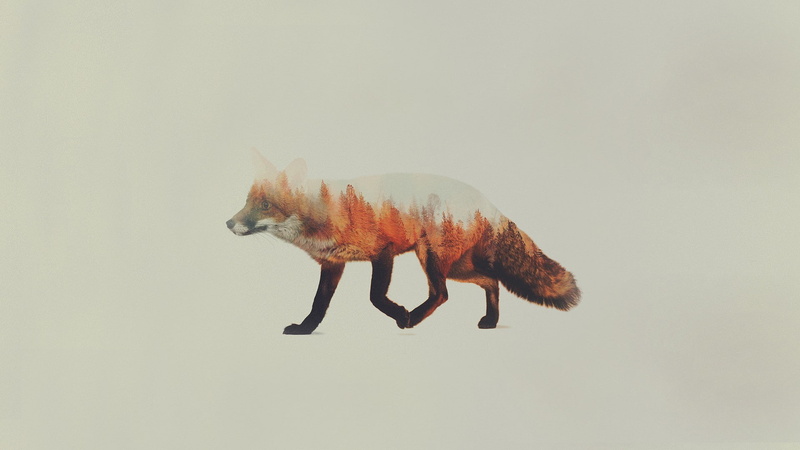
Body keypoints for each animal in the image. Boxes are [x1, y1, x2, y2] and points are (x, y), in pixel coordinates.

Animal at [227, 151, 580, 334]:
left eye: (265, 205)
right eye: (247, 202)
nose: (228, 223)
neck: (325, 212)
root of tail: (487, 202)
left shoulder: (384, 252)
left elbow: (375, 296)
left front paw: (399, 313)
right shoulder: (334, 263)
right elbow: (318, 305)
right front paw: (305, 328)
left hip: (432, 257)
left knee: (442, 294)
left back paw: (414, 318)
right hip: (458, 266)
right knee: (490, 281)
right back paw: (491, 321)